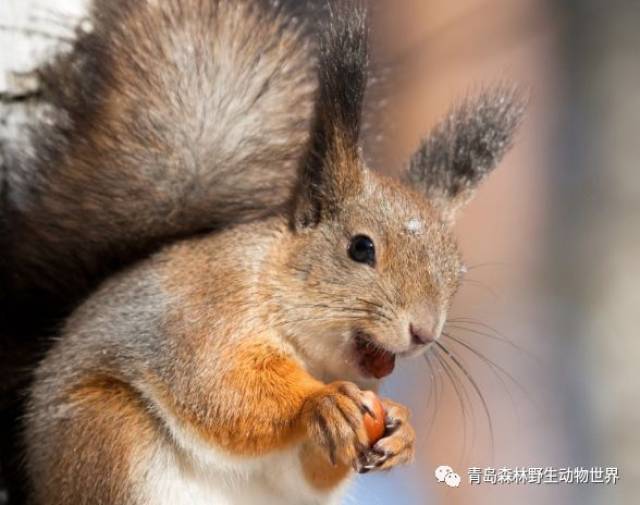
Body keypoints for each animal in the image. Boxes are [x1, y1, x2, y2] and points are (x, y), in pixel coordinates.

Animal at [0, 0, 524, 502]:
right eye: (361, 247)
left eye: (457, 275)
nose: (424, 332)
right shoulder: (207, 315)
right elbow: (222, 387)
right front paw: (321, 402)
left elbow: (309, 473)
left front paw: (403, 432)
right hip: (108, 435)